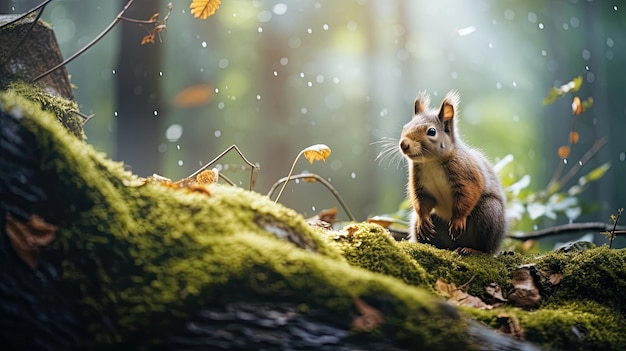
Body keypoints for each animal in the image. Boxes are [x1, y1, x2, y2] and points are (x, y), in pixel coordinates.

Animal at [398, 91, 504, 256]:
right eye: (405, 127)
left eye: (432, 131)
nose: (404, 144)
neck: (431, 161)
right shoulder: (419, 182)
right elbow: (422, 200)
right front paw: (423, 219)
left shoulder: (466, 172)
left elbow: (468, 193)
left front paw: (458, 221)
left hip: (488, 213)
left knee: (485, 247)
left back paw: (472, 250)